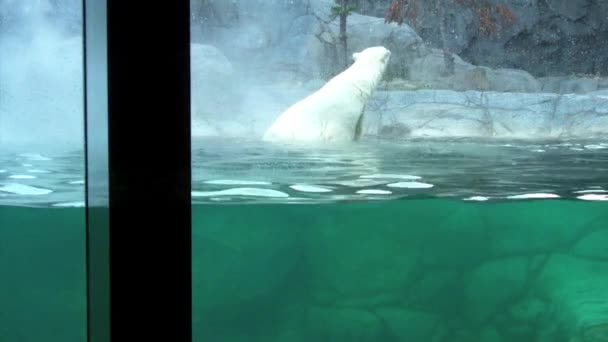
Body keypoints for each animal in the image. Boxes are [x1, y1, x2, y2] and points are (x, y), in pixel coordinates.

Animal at [262, 46, 390, 142]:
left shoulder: (360, 110)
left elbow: (358, 129)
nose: (388, 49)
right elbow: (339, 134)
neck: (357, 84)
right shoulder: (343, 112)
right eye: (385, 51)